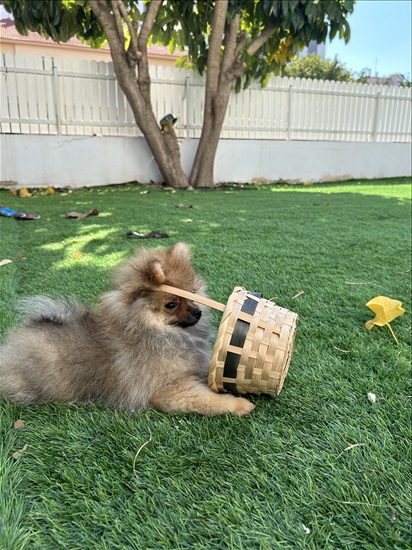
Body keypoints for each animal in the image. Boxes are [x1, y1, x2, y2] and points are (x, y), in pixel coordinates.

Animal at [0, 244, 254, 416]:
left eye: (193, 294)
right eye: (171, 304)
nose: (198, 312)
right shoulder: (171, 389)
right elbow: (209, 400)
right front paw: (239, 404)